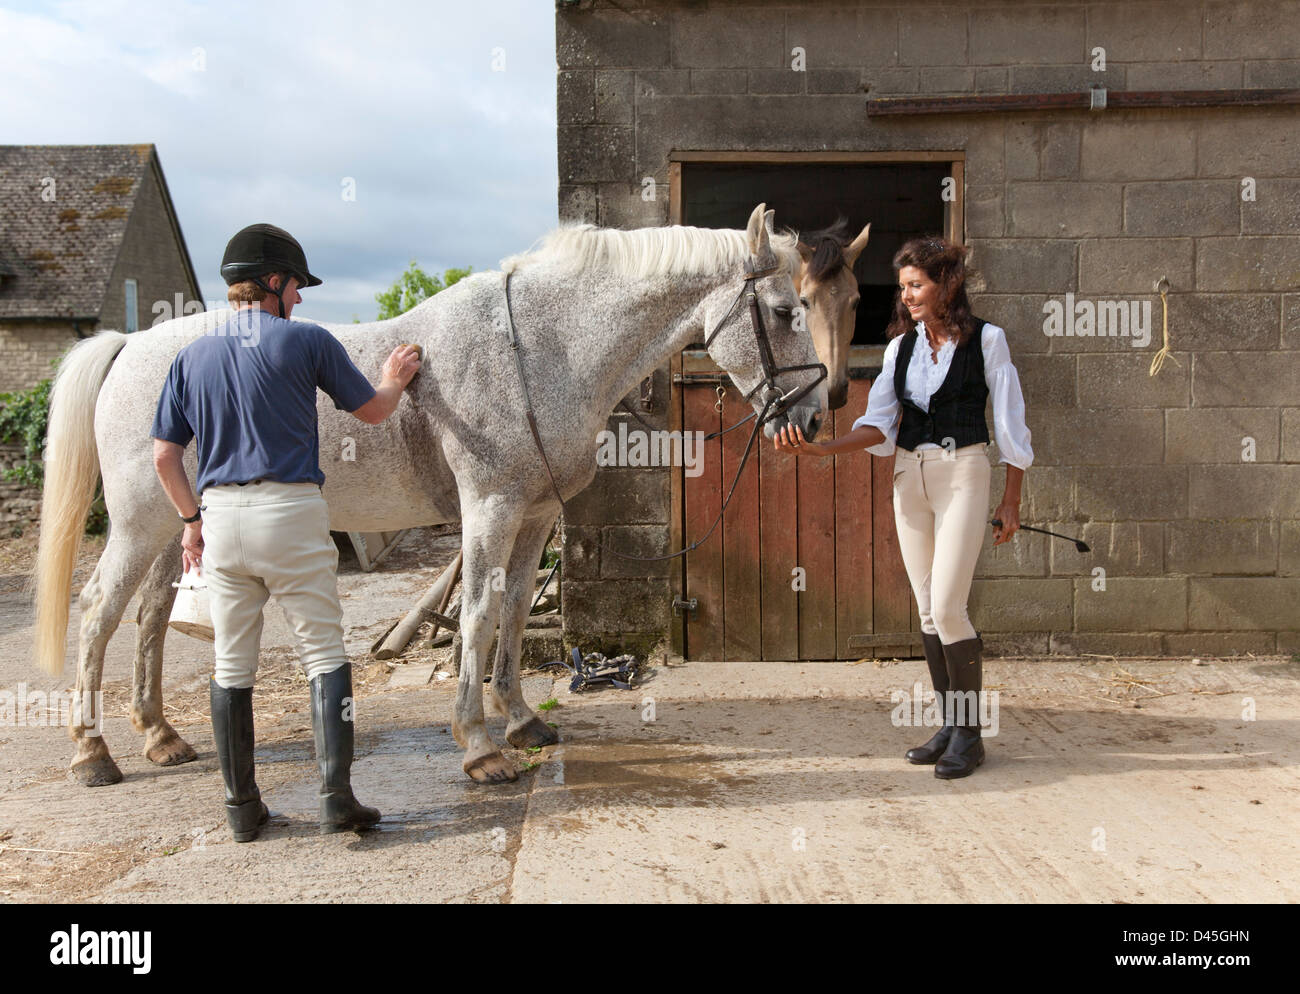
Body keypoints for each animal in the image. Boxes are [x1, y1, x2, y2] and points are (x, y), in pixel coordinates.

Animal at [35, 203, 826, 784]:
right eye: (785, 311)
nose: (816, 417)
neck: (543, 349)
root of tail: (130, 347)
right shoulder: (490, 511)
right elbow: (474, 616)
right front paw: (479, 746)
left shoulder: (535, 516)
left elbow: (513, 613)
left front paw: (521, 719)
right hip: (140, 525)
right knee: (99, 612)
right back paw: (91, 751)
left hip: (177, 526)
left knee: (148, 618)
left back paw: (159, 735)